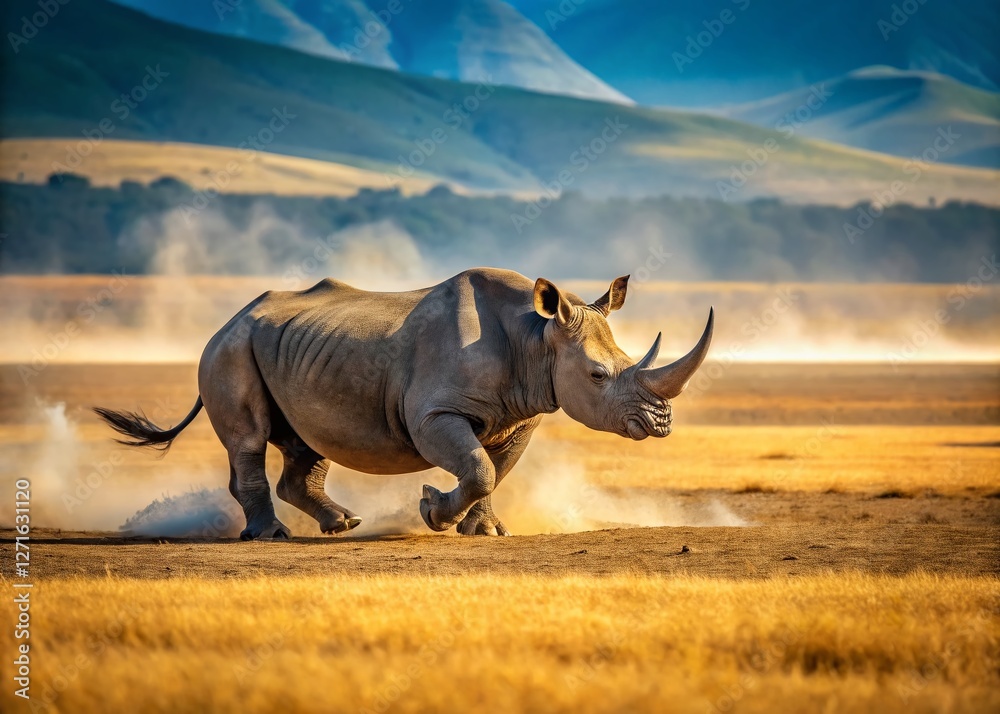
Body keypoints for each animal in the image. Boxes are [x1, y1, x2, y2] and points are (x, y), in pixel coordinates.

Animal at [96, 268, 713, 539]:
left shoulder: (522, 417)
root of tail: (226, 320)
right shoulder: (433, 413)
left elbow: (493, 470)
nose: (661, 422)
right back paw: (273, 537)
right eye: (597, 375)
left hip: (292, 348)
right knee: (249, 440)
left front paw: (482, 531)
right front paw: (433, 512)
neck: (537, 337)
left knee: (307, 442)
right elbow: (478, 468)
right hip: (230, 349)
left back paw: (342, 525)